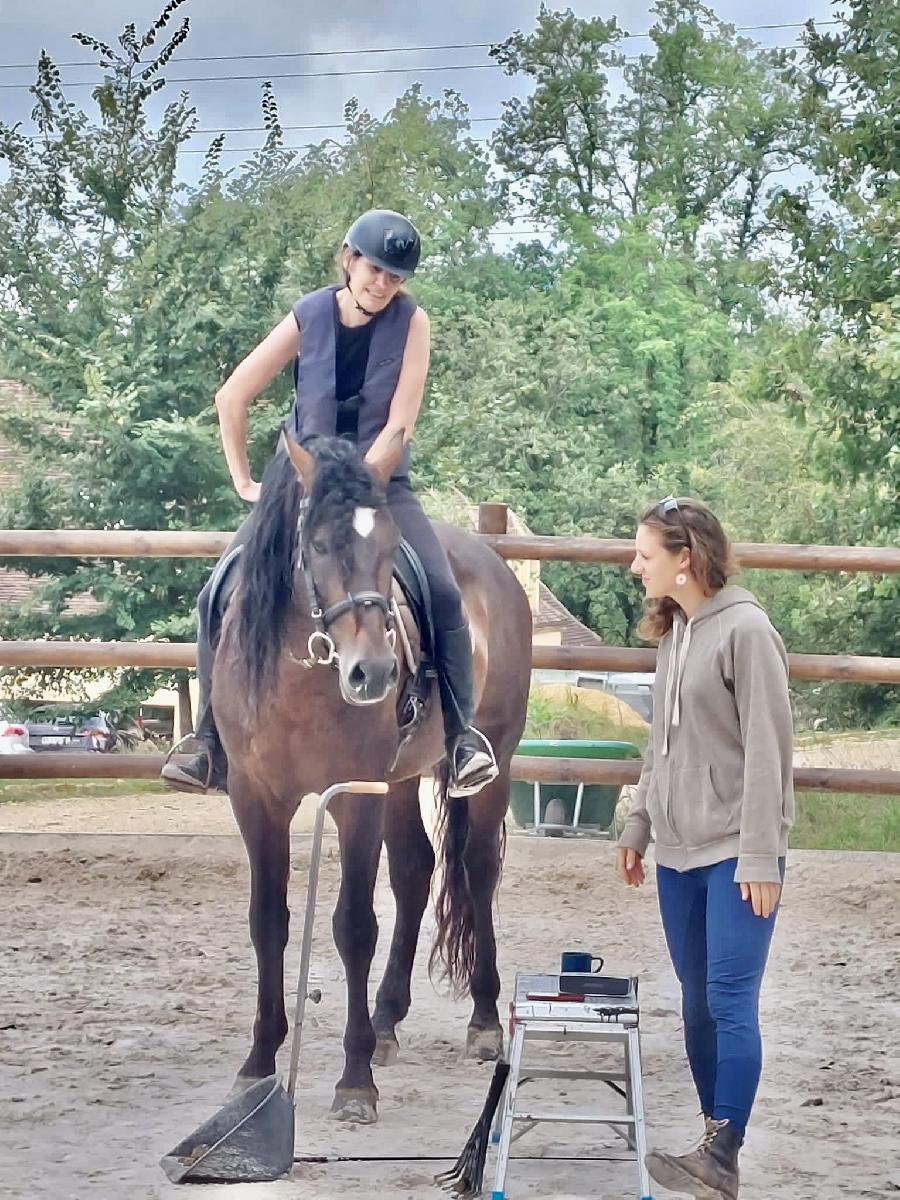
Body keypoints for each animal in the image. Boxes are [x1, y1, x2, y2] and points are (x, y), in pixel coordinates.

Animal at [211, 439, 535, 1123]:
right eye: (317, 545)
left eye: (387, 548)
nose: (375, 673)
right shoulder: (256, 799)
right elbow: (267, 920)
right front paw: (259, 1065)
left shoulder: (354, 797)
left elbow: (354, 925)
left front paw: (353, 1079)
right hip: (400, 781)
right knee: (414, 870)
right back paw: (387, 1019)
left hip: (494, 761)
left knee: (477, 870)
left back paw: (484, 1019)